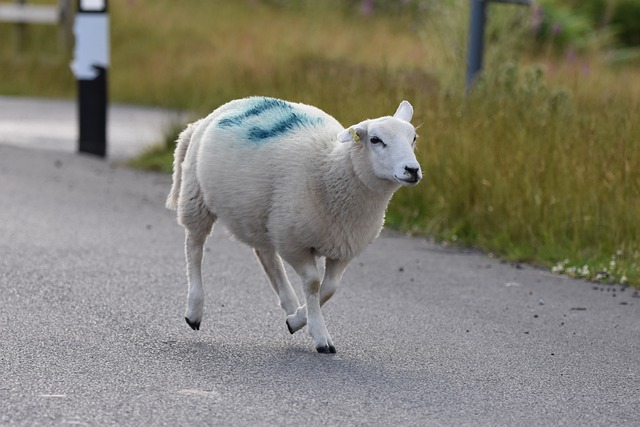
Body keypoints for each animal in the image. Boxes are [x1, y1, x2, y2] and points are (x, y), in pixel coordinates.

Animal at [168, 97, 422, 354]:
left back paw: (290, 305)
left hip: (262, 217)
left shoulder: (343, 247)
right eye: (375, 140)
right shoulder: (293, 243)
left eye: (413, 138)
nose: (412, 170)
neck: (332, 170)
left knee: (266, 255)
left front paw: (298, 320)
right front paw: (319, 335)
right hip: (197, 197)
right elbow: (313, 283)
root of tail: (208, 117)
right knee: (195, 248)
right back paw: (194, 310)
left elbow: (329, 288)